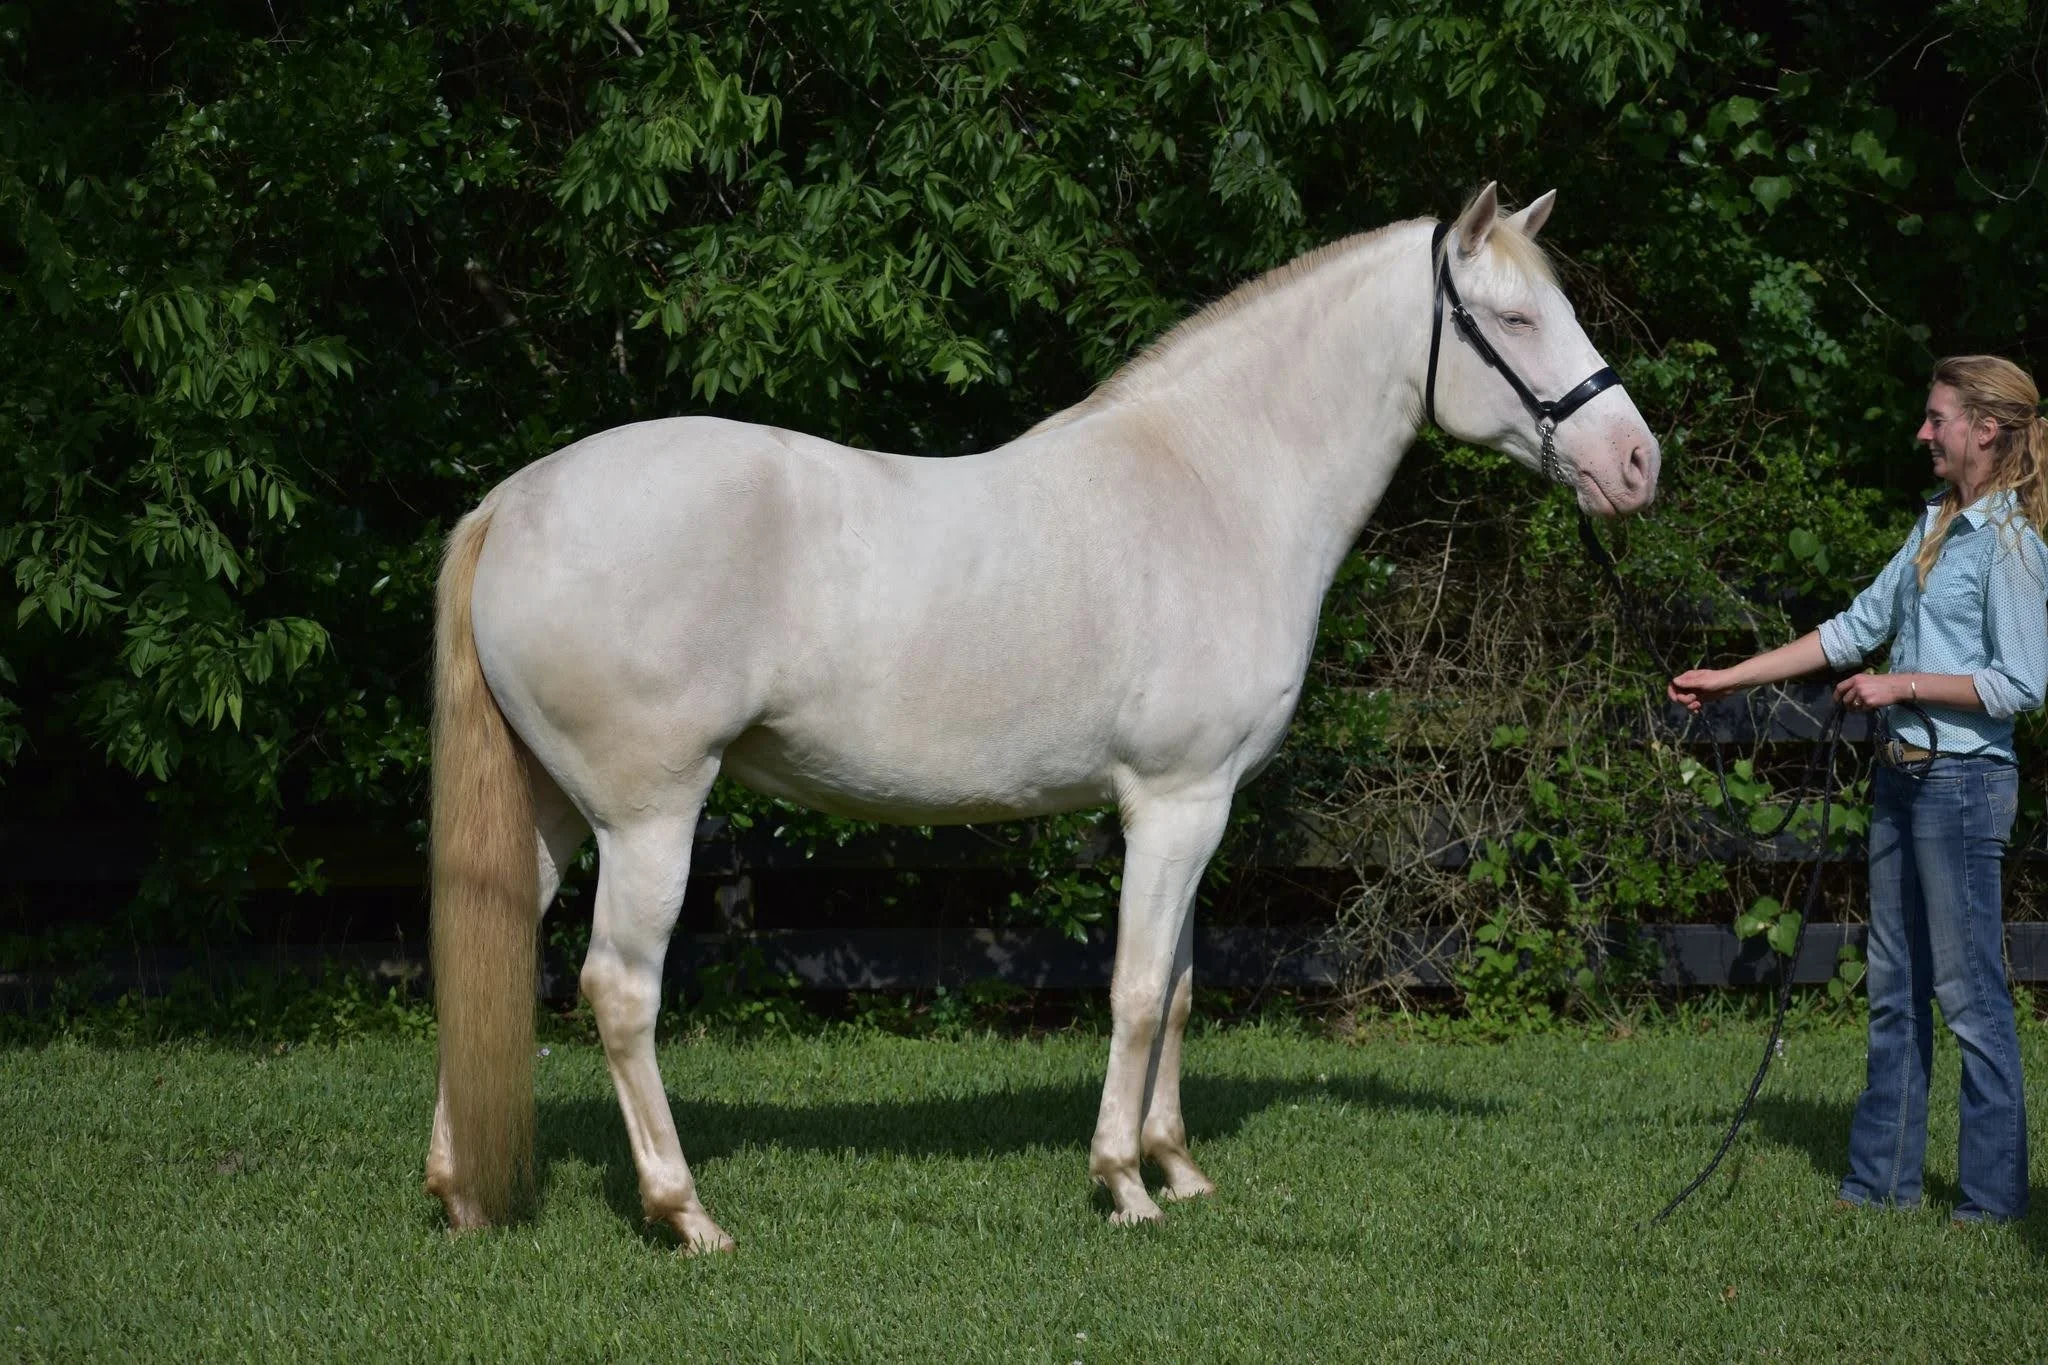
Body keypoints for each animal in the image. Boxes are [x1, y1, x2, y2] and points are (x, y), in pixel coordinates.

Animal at [423, 183, 1661, 1251]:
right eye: (1513, 317)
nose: (1635, 463)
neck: (1212, 487)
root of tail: (513, 502)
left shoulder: (1198, 810)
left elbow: (1178, 988)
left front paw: (1177, 1168)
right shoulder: (1172, 803)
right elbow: (1133, 991)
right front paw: (1123, 1185)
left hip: (549, 813)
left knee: (486, 948)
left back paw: (461, 1195)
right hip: (650, 817)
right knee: (619, 990)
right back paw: (686, 1215)